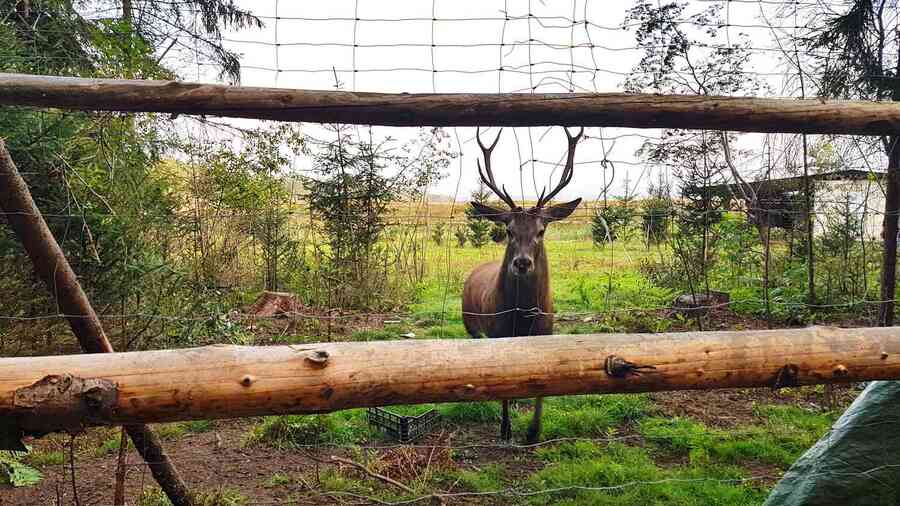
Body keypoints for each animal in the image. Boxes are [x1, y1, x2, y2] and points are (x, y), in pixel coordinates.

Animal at [464, 126, 584, 442]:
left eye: (542, 230)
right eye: (508, 229)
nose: (521, 262)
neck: (522, 319)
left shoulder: (546, 336)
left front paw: (533, 431)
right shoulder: (497, 335)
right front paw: (505, 429)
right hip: (470, 326)